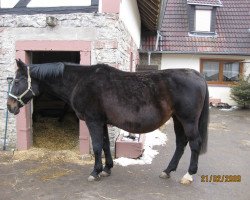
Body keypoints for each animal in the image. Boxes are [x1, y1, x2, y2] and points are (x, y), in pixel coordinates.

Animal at [6, 59, 208, 184]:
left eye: (16, 81)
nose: (10, 106)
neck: (80, 81)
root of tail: (197, 75)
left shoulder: (93, 121)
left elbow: (96, 146)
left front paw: (95, 172)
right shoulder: (101, 121)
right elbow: (104, 144)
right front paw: (107, 168)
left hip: (188, 120)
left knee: (194, 143)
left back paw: (189, 175)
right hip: (177, 119)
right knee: (181, 144)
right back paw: (167, 171)